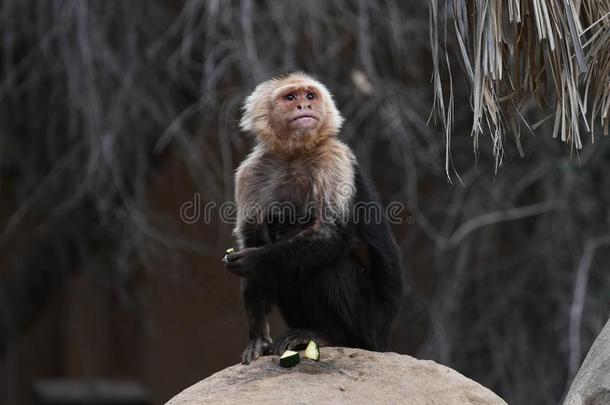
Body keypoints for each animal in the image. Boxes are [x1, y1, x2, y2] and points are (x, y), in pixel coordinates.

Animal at [223, 72, 404, 362]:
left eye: (310, 96)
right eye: (290, 97)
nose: (304, 106)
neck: (294, 155)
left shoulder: (333, 157)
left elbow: (332, 235)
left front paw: (253, 260)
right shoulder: (250, 172)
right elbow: (253, 237)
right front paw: (257, 335)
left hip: (373, 324)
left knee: (327, 263)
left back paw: (327, 337)